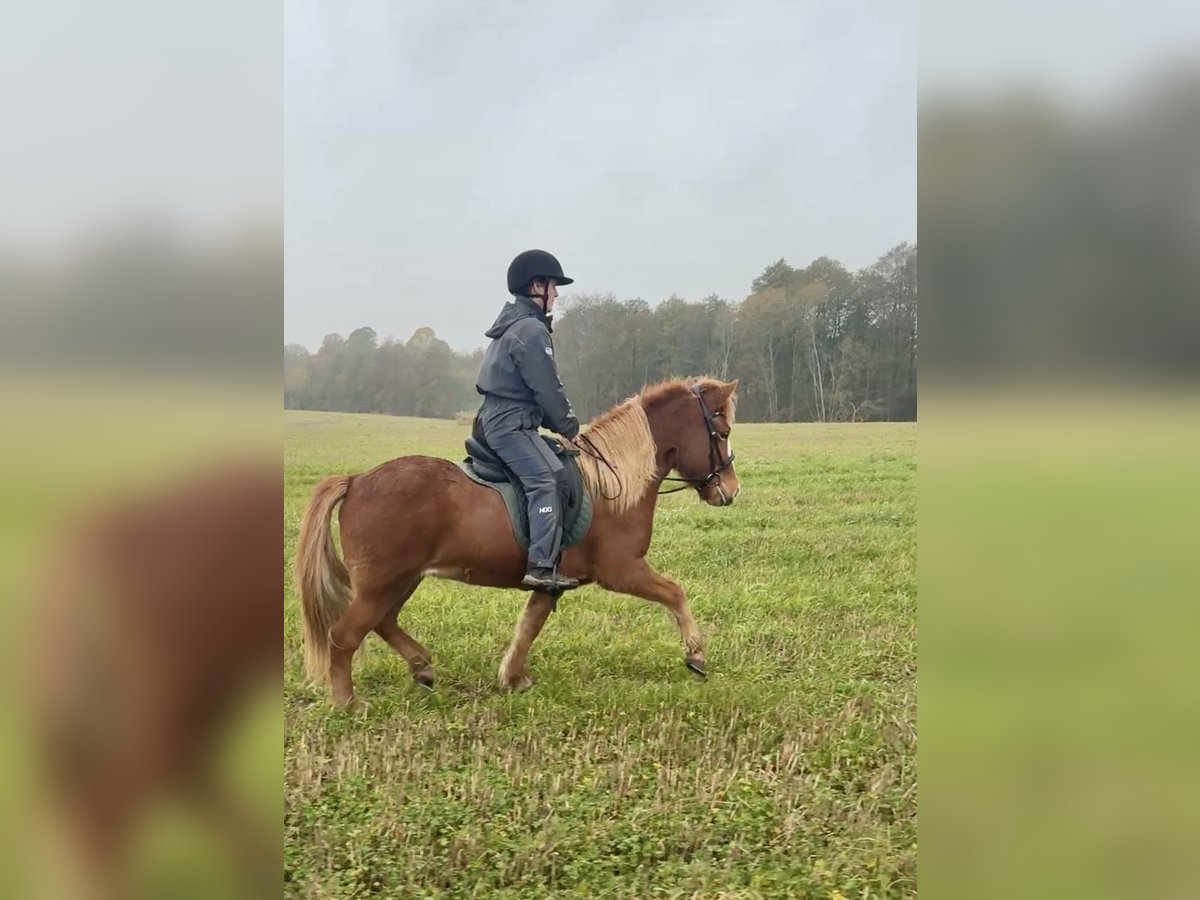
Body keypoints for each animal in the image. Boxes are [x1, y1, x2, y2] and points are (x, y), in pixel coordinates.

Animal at [296, 377, 740, 708]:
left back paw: (422, 666)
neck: (611, 481)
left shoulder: (551, 581)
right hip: (383, 582)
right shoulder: (622, 570)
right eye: (722, 431)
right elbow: (675, 593)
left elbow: (529, 626)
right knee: (344, 636)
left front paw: (512, 678)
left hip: (401, 579)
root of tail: (356, 481)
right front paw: (696, 654)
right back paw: (348, 703)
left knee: (383, 622)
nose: (731, 491)